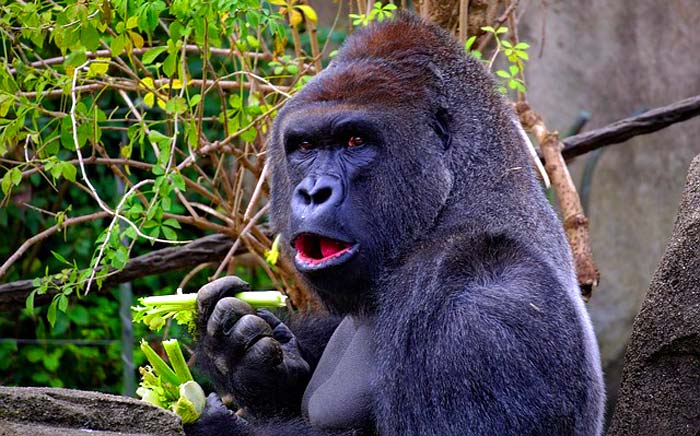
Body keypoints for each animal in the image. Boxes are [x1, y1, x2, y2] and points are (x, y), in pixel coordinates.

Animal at [183, 10, 604, 436]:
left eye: (355, 141)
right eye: (304, 146)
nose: (313, 192)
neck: (452, 202)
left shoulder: (484, 309)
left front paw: (216, 423)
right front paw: (240, 358)